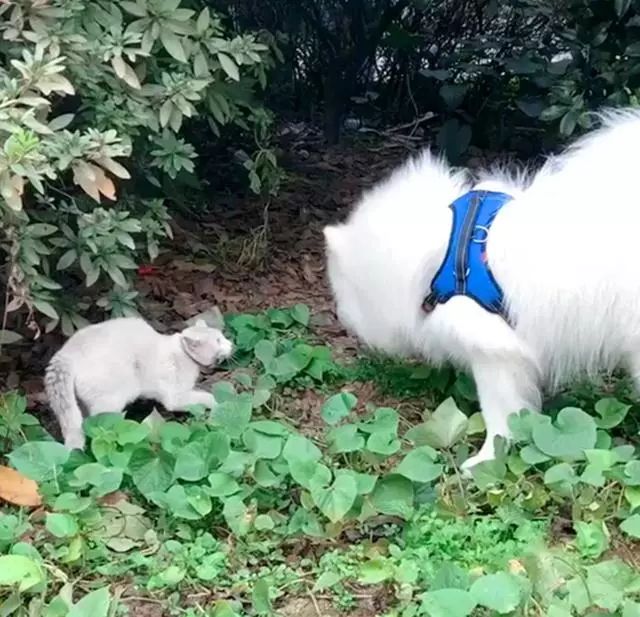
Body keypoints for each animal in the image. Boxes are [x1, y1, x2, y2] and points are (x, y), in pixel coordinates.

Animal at [45, 318, 235, 448]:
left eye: (222, 337)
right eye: (218, 341)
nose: (231, 343)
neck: (182, 353)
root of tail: (66, 353)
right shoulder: (175, 397)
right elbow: (208, 397)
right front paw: (219, 406)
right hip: (111, 402)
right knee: (98, 428)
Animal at [324, 108, 640, 470]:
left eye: (343, 291)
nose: (342, 320)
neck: (446, 252)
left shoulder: (493, 350)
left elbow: (499, 414)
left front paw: (484, 461)